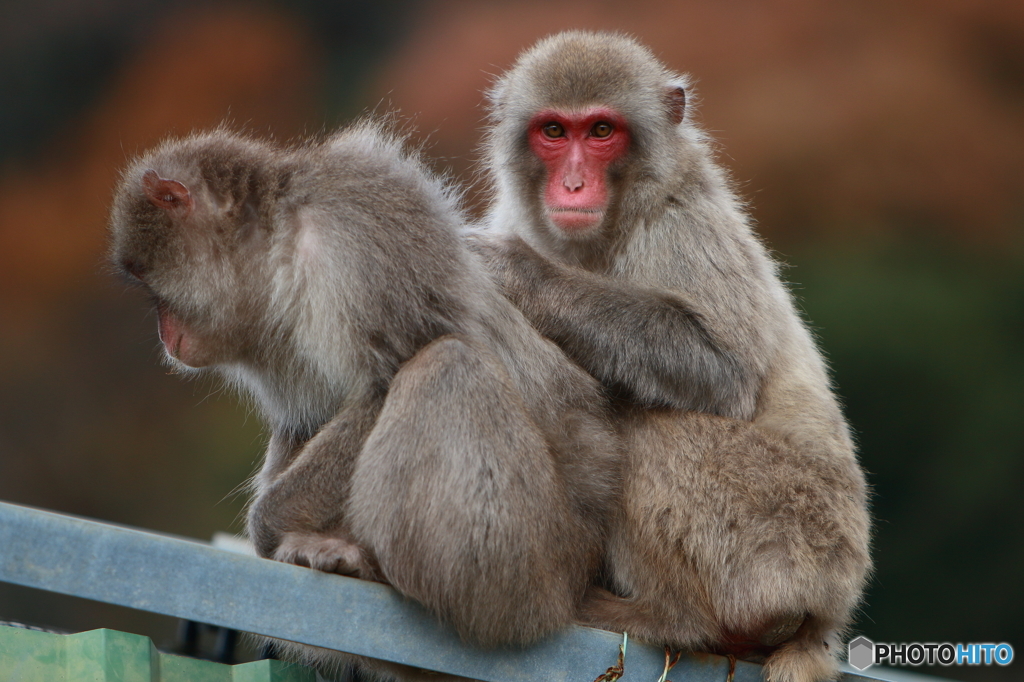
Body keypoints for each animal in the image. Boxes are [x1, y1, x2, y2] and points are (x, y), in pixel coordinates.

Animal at [111, 123, 618, 675]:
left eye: (152, 288)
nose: (165, 335)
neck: (280, 246)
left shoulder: (358, 228)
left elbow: (389, 376)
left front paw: (268, 527)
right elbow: (306, 420)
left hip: (537, 562)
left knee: (446, 366)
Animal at [477, 31, 872, 679]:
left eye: (601, 131)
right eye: (554, 131)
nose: (574, 184)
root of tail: (828, 611)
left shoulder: (682, 223)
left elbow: (722, 368)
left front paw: (520, 274)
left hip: (783, 541)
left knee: (649, 423)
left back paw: (673, 616)